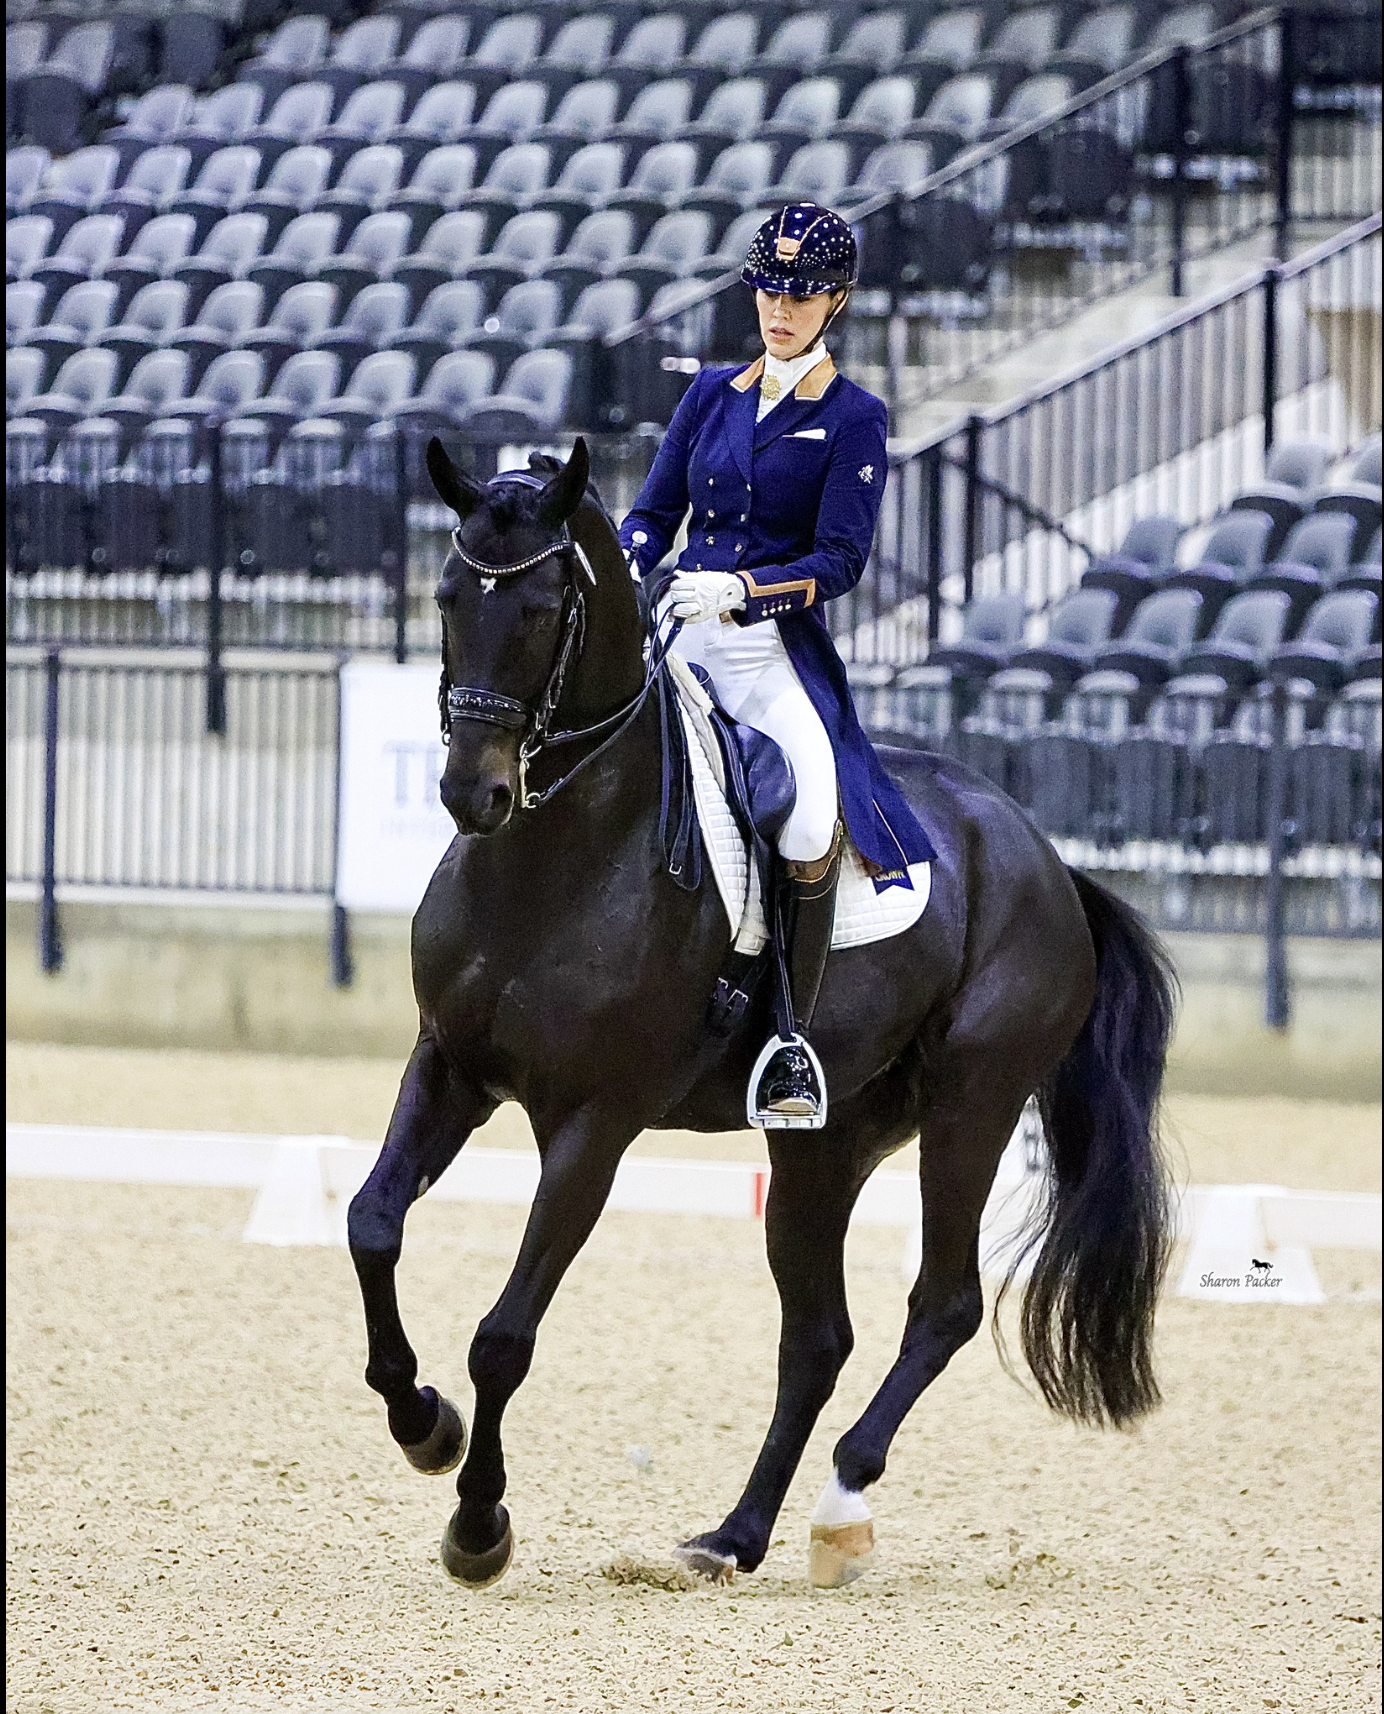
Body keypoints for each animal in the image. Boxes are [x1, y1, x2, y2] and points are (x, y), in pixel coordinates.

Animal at [346, 433, 1176, 1590]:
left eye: (548, 607)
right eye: (447, 595)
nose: (476, 795)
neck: (552, 860)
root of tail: (1046, 859)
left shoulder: (594, 1125)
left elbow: (505, 1334)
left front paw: (478, 1524)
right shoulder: (448, 1066)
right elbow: (371, 1223)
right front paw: (425, 1425)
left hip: (971, 1108)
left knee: (943, 1305)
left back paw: (838, 1509)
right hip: (826, 1142)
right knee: (817, 1338)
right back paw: (733, 1535)